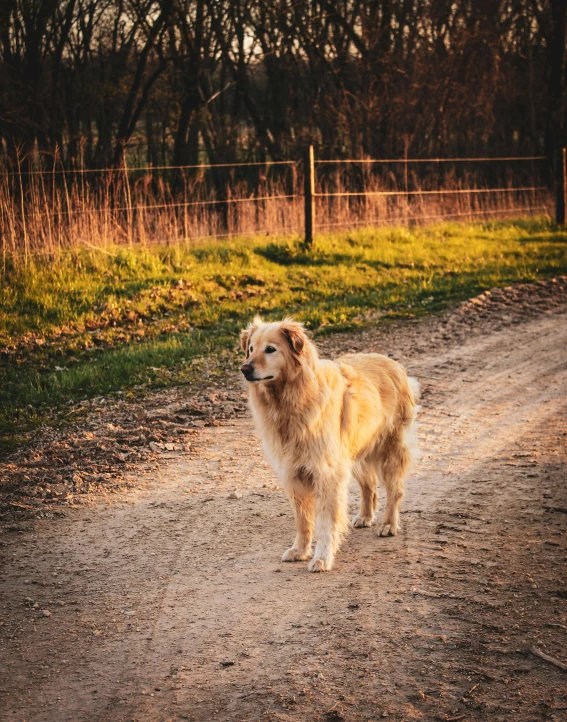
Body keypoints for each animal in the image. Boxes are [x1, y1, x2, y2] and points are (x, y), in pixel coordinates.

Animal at [237, 316, 420, 568]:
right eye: (251, 349)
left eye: (270, 349)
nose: (244, 369)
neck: (291, 400)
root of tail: (394, 364)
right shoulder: (293, 473)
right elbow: (303, 520)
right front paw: (300, 550)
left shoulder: (326, 473)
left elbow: (325, 522)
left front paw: (322, 558)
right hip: (354, 455)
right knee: (369, 485)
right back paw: (365, 516)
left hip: (389, 452)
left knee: (395, 491)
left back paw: (389, 524)